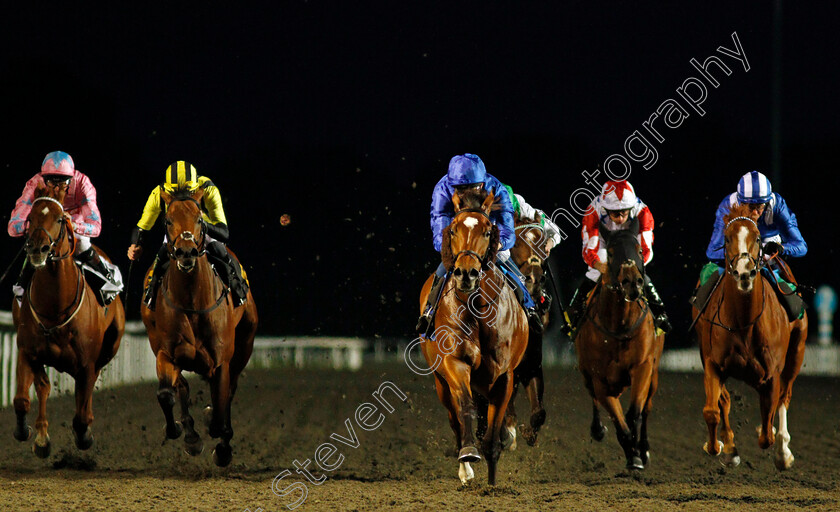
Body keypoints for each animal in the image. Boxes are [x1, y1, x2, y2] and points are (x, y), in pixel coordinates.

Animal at [11, 185, 124, 456]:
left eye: (60, 219)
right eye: (30, 218)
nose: (37, 249)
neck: (55, 307)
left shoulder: (87, 362)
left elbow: (81, 414)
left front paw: (85, 435)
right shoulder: (28, 351)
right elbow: (25, 398)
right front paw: (33, 435)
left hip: (109, 348)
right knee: (41, 388)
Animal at [143, 188, 258, 468]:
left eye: (198, 219)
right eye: (168, 220)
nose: (186, 252)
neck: (193, 302)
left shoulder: (222, 361)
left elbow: (220, 409)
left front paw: (221, 445)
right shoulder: (167, 353)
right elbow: (166, 393)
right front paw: (179, 431)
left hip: (244, 345)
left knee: (230, 391)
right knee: (182, 387)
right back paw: (191, 435)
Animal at [418, 188, 528, 484]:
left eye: (488, 231)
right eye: (453, 229)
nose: (466, 273)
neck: (477, 311)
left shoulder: (504, 376)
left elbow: (493, 431)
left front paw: (492, 482)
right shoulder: (455, 363)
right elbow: (465, 408)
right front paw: (468, 455)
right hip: (440, 382)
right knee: (455, 418)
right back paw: (465, 468)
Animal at [576, 222, 664, 470]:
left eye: (640, 249)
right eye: (611, 252)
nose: (632, 282)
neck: (619, 327)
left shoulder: (642, 367)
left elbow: (634, 413)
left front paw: (637, 452)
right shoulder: (599, 379)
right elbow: (618, 419)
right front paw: (631, 456)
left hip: (654, 373)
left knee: (647, 408)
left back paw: (643, 447)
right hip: (586, 374)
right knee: (594, 399)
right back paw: (599, 430)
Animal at [692, 204, 812, 468]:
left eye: (757, 238)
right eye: (726, 239)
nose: (744, 273)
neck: (743, 322)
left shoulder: (772, 373)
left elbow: (767, 433)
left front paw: (777, 445)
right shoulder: (712, 363)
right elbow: (712, 410)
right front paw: (721, 447)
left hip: (797, 352)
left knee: (784, 397)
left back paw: (783, 451)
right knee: (724, 400)